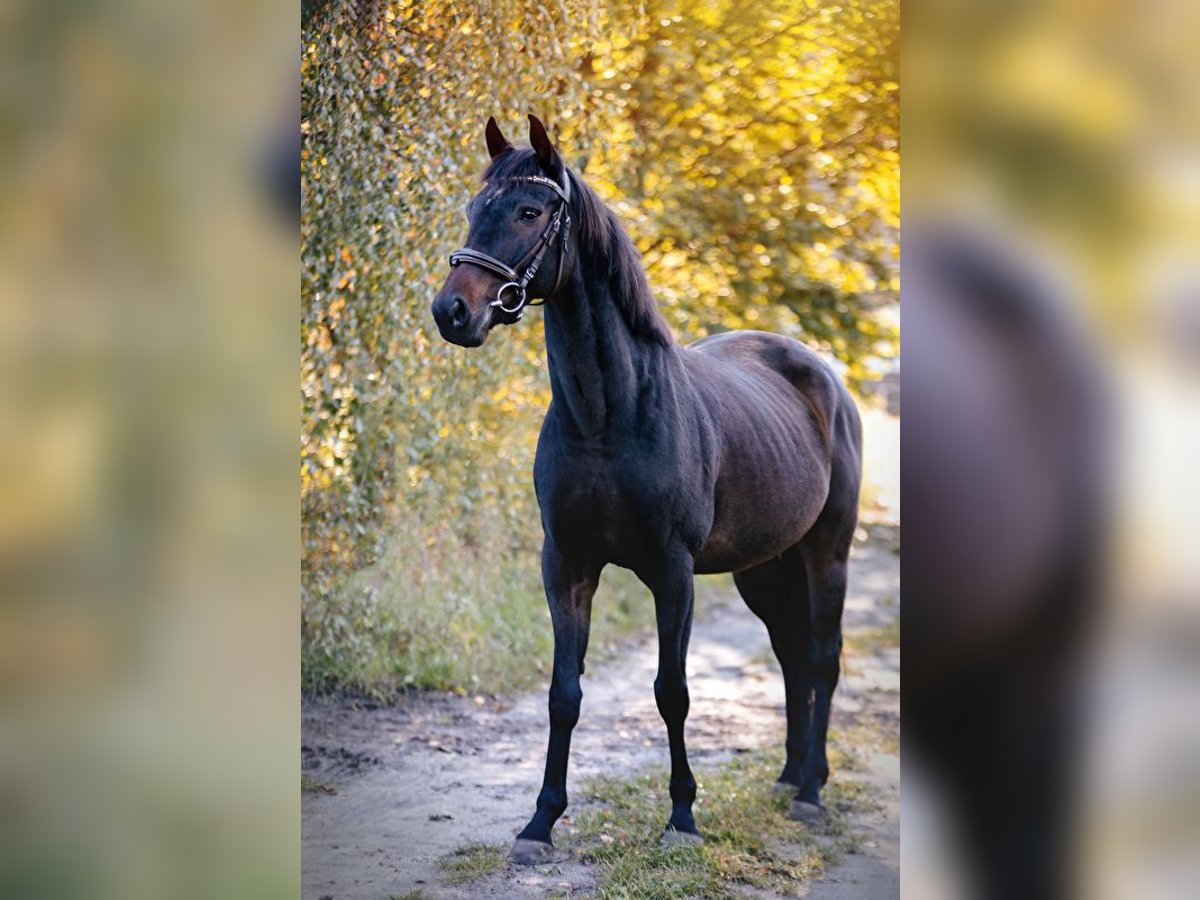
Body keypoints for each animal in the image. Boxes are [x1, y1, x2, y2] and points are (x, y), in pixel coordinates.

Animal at [432, 114, 864, 868]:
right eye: (473, 207)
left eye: (530, 211)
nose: (453, 311)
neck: (610, 414)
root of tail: (823, 376)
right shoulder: (567, 565)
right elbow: (564, 693)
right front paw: (539, 823)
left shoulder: (673, 571)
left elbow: (672, 692)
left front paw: (683, 818)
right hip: (764, 567)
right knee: (790, 656)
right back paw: (788, 775)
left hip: (826, 553)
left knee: (822, 657)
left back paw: (812, 789)